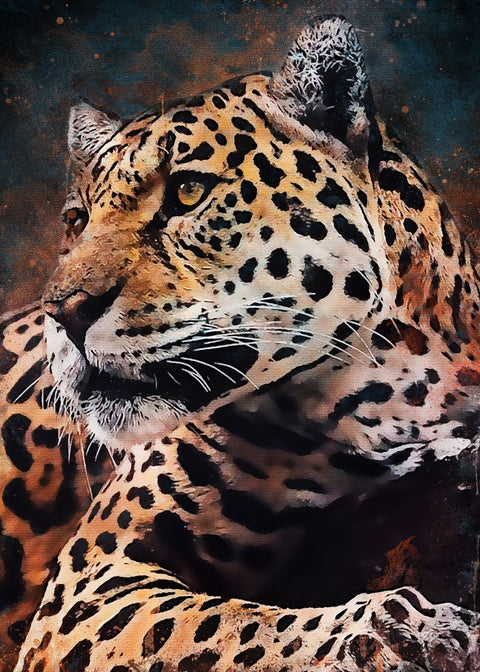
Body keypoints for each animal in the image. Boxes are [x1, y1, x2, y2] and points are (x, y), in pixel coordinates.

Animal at [3, 14, 480, 672]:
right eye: (76, 221)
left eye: (186, 191)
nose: (63, 312)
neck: (393, 402)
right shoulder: (93, 576)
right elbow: (230, 627)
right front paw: (401, 633)